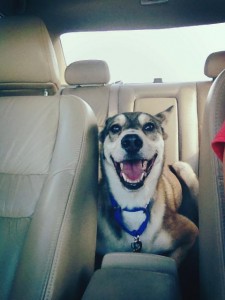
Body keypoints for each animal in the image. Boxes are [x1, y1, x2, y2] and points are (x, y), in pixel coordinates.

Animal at [96, 107, 199, 264]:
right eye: (115, 128)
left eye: (149, 126)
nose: (131, 141)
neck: (133, 203)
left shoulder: (190, 232)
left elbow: (173, 259)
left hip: (183, 168)